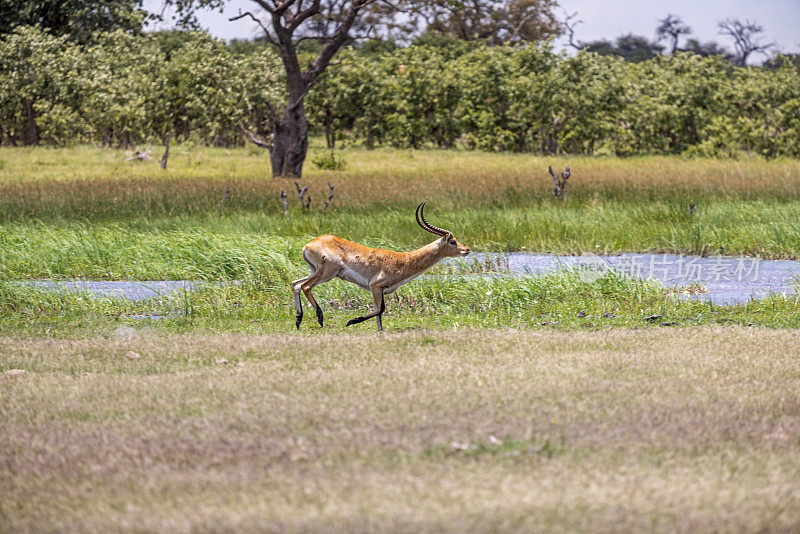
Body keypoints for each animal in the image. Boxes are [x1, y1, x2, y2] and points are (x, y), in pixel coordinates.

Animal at [292, 203, 468, 332]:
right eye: (453, 241)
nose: (466, 249)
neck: (403, 260)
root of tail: (308, 245)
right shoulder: (375, 286)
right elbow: (381, 309)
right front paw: (351, 321)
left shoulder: (379, 290)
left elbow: (379, 312)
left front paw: (380, 331)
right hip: (327, 273)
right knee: (305, 286)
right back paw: (319, 318)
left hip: (315, 271)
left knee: (296, 284)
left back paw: (298, 320)